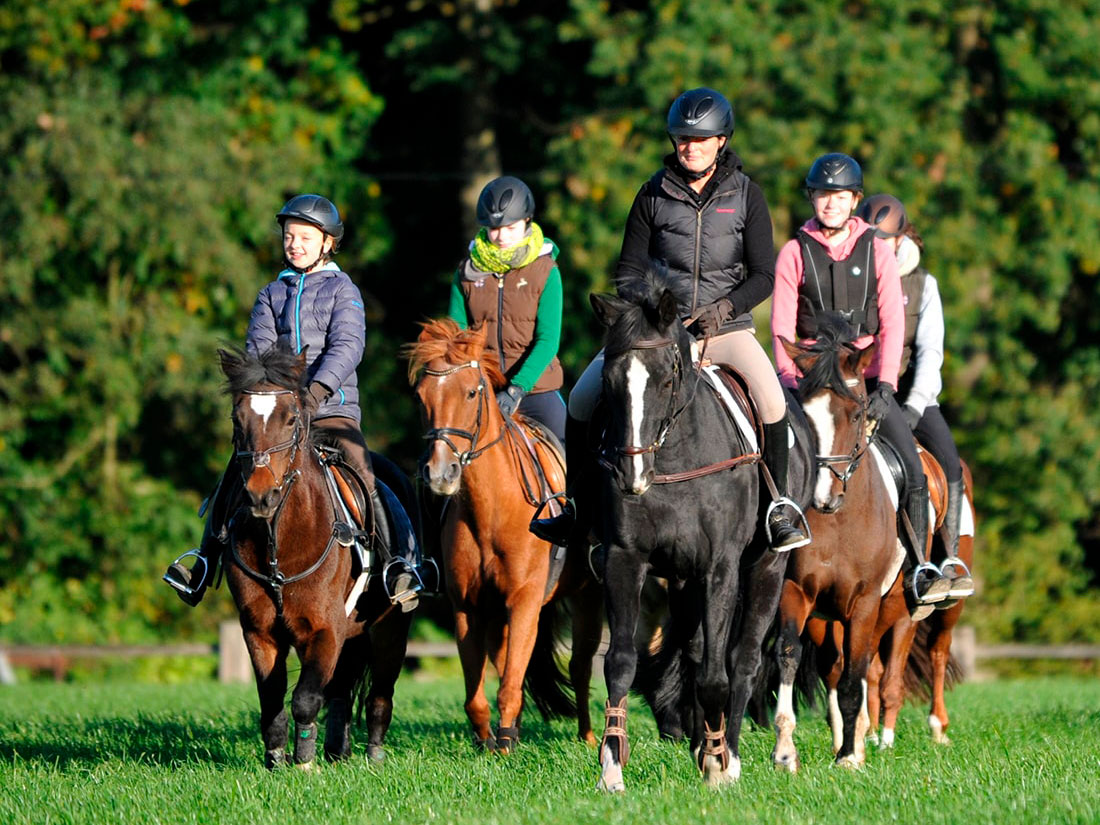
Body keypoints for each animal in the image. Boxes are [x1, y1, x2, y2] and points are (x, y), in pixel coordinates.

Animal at [217, 345, 413, 774]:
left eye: (291, 418)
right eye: (237, 419)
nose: (261, 496)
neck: (280, 543)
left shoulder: (324, 629)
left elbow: (306, 698)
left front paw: (304, 762)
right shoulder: (259, 632)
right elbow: (273, 700)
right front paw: (277, 759)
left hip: (390, 629)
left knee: (379, 695)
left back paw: (373, 755)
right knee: (340, 692)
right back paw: (337, 750)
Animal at [404, 319, 602, 756]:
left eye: (472, 391)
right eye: (422, 396)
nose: (440, 474)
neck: (492, 510)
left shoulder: (524, 602)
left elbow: (511, 682)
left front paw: (507, 742)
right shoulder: (467, 606)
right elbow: (477, 692)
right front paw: (487, 741)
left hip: (588, 597)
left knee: (581, 665)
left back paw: (588, 737)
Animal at [589, 268, 787, 792]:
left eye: (665, 377)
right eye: (609, 382)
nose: (632, 476)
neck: (675, 457)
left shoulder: (720, 568)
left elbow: (718, 674)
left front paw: (718, 765)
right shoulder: (625, 559)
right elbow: (620, 663)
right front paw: (611, 767)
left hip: (766, 570)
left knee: (741, 661)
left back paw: (726, 751)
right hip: (680, 580)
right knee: (695, 651)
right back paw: (703, 742)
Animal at [774, 319, 919, 774]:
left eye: (856, 413)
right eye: (805, 416)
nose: (824, 496)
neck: (839, 521)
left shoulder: (866, 602)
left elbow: (857, 675)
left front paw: (850, 759)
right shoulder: (796, 594)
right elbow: (789, 657)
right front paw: (785, 751)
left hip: (892, 608)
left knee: (866, 667)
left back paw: (860, 741)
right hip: (826, 618)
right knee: (835, 668)